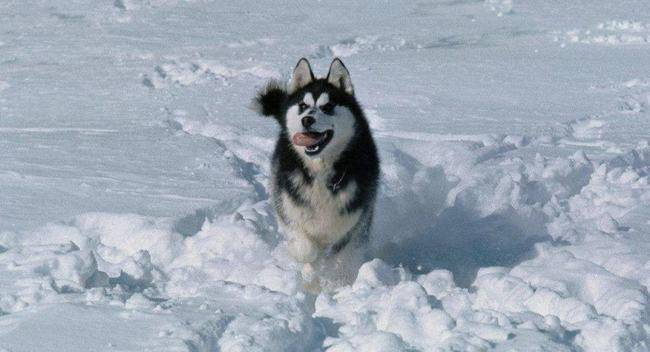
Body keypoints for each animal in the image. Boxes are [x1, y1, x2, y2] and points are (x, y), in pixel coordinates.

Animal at [251, 57, 378, 288]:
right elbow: (305, 249)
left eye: (328, 107)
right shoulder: (288, 207)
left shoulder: (356, 218)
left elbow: (342, 255)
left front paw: (334, 280)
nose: (307, 120)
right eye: (303, 106)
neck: (320, 171)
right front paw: (312, 272)